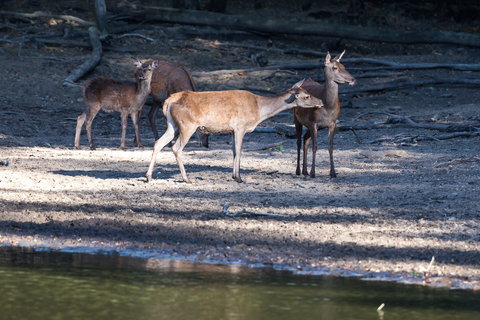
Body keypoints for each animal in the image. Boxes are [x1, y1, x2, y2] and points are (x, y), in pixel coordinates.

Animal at [144, 80, 320, 184]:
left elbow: (234, 151)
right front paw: (240, 178)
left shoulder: (232, 130)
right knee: (176, 148)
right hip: (187, 125)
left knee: (158, 143)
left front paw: (234, 176)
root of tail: (168, 101)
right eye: (306, 96)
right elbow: (240, 150)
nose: (321, 102)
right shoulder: (240, 126)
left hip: (172, 125)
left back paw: (148, 176)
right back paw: (186, 178)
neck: (258, 111)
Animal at [292, 51, 356, 179]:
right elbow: (315, 146)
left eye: (344, 66)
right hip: (296, 118)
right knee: (299, 141)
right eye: (335, 68)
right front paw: (313, 173)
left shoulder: (333, 123)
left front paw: (333, 173)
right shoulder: (314, 122)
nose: (353, 79)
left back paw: (305, 171)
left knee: (305, 139)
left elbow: (330, 147)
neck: (327, 107)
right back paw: (298, 170)